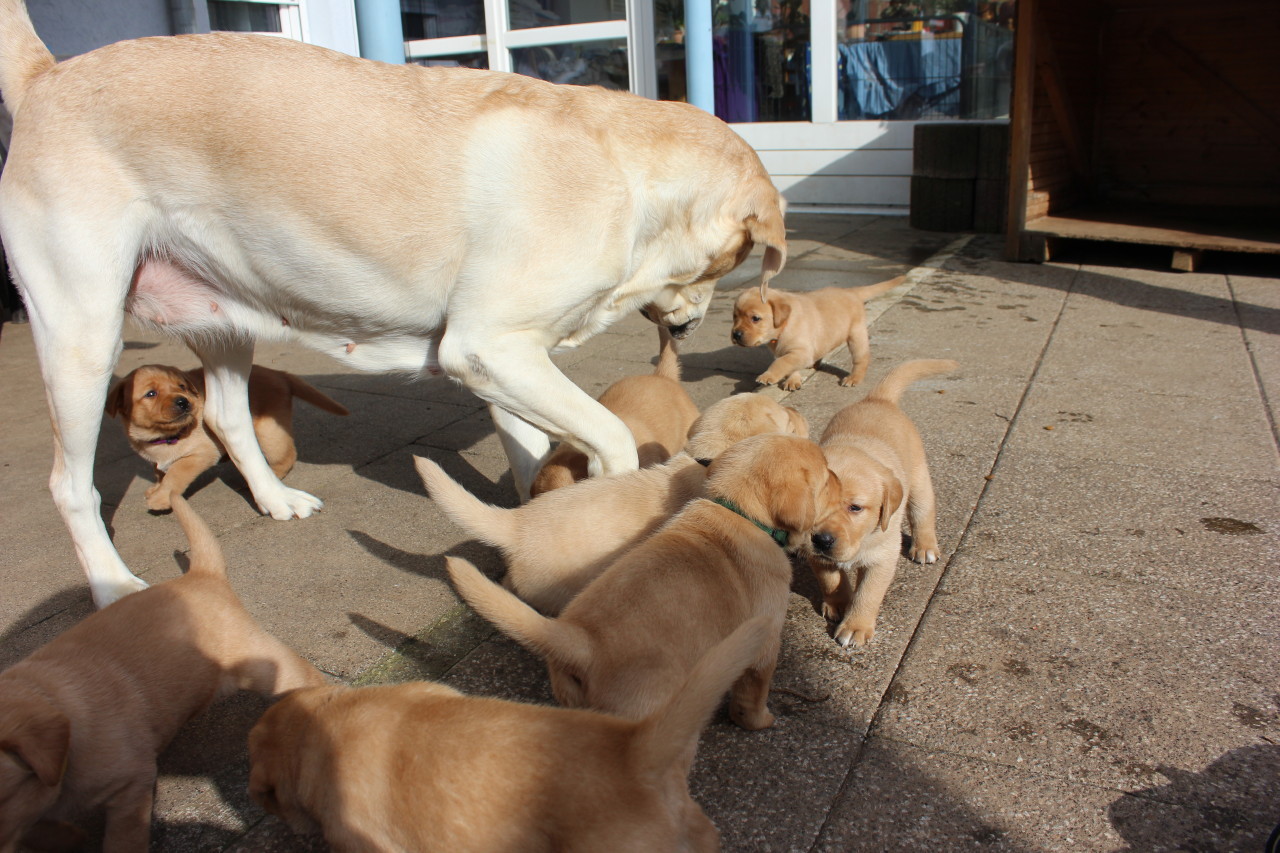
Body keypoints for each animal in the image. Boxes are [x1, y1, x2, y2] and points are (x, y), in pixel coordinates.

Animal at [0, 491, 325, 850]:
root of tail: (200, 576)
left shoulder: (133, 783)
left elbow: (124, 838)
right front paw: (68, 837)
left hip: (267, 665)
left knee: (311, 679)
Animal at [105, 361, 348, 507]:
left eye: (181, 386)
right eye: (151, 394)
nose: (184, 402)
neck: (164, 437)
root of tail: (279, 374)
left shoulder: (199, 454)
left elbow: (175, 474)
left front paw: (161, 498)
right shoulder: (157, 460)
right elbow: (160, 473)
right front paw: (157, 488)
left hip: (267, 432)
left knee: (286, 456)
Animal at [732, 274, 911, 389]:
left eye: (755, 318)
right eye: (734, 317)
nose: (736, 334)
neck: (783, 327)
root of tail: (851, 291)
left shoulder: (801, 351)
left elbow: (782, 363)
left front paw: (768, 376)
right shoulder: (789, 352)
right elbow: (789, 365)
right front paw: (793, 380)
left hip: (856, 336)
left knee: (862, 358)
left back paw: (854, 378)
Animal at [803, 356, 957, 645]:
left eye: (855, 508)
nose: (821, 539)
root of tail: (877, 399)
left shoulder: (883, 556)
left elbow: (869, 593)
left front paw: (855, 626)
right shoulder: (816, 555)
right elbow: (831, 580)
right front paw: (839, 604)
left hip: (918, 480)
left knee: (923, 513)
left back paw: (925, 547)